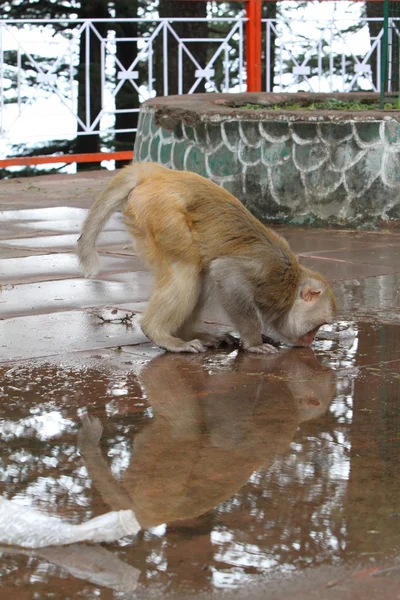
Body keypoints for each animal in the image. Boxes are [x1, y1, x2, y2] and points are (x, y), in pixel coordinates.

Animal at [76, 162, 336, 354]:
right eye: (317, 326)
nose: (310, 341)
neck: (290, 285)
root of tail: (162, 174)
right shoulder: (269, 274)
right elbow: (226, 273)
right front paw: (254, 342)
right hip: (162, 212)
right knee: (188, 268)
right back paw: (162, 336)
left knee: (198, 272)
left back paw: (191, 333)